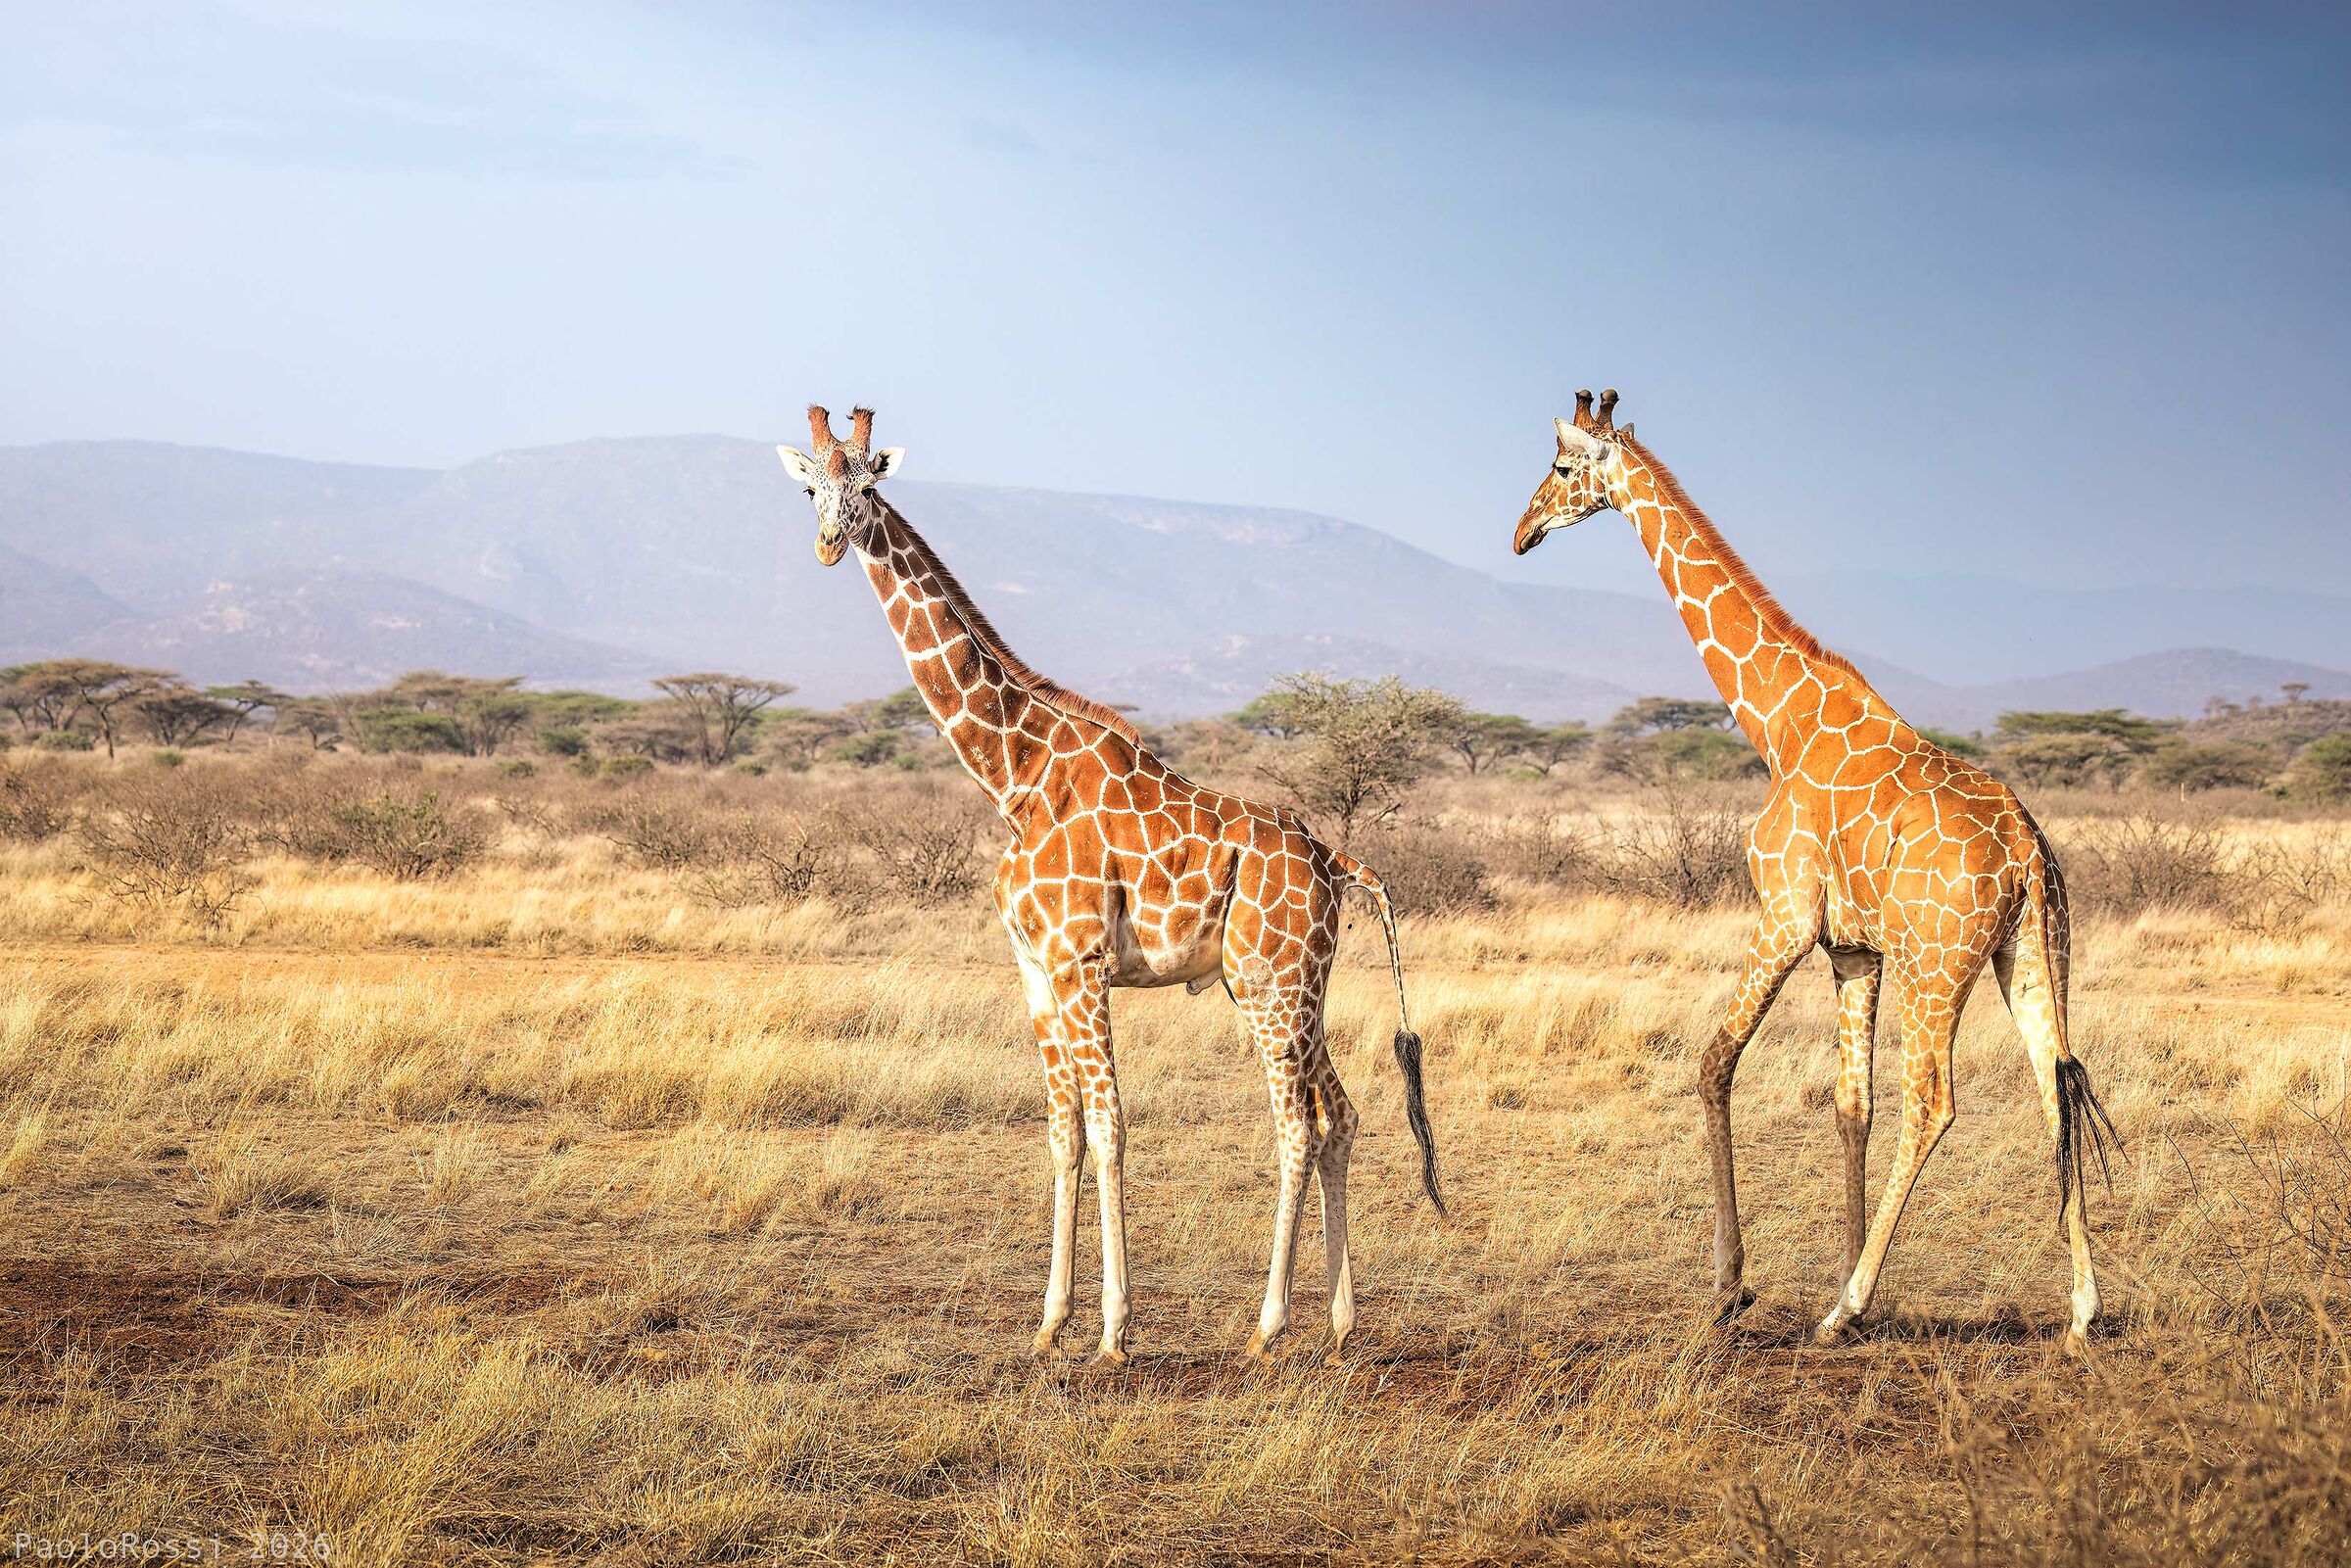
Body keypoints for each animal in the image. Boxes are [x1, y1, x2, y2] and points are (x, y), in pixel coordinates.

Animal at [777, 406, 1443, 1364]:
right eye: (810, 489)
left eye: (868, 485)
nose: (832, 542)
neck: (1012, 773)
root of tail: (1336, 861)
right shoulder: (1035, 970)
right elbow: (1062, 1133)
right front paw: (1050, 1320)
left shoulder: (1084, 963)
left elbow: (1111, 1127)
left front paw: (1116, 1328)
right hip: (1286, 984)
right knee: (1341, 1116)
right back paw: (1341, 1322)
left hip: (1274, 985)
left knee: (1296, 1127)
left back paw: (1268, 1324)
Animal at [1511, 389, 2119, 1351]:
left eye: (1563, 466)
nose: (1522, 531)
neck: (1777, 720)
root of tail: (2027, 849)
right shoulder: (1852, 949)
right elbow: (1848, 1106)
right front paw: (1834, 1266)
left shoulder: (1786, 915)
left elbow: (1715, 1063)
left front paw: (1732, 1284)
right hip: (2031, 952)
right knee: (2058, 1089)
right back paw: (2082, 1309)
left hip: (1935, 964)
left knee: (1935, 1102)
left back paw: (1846, 1310)